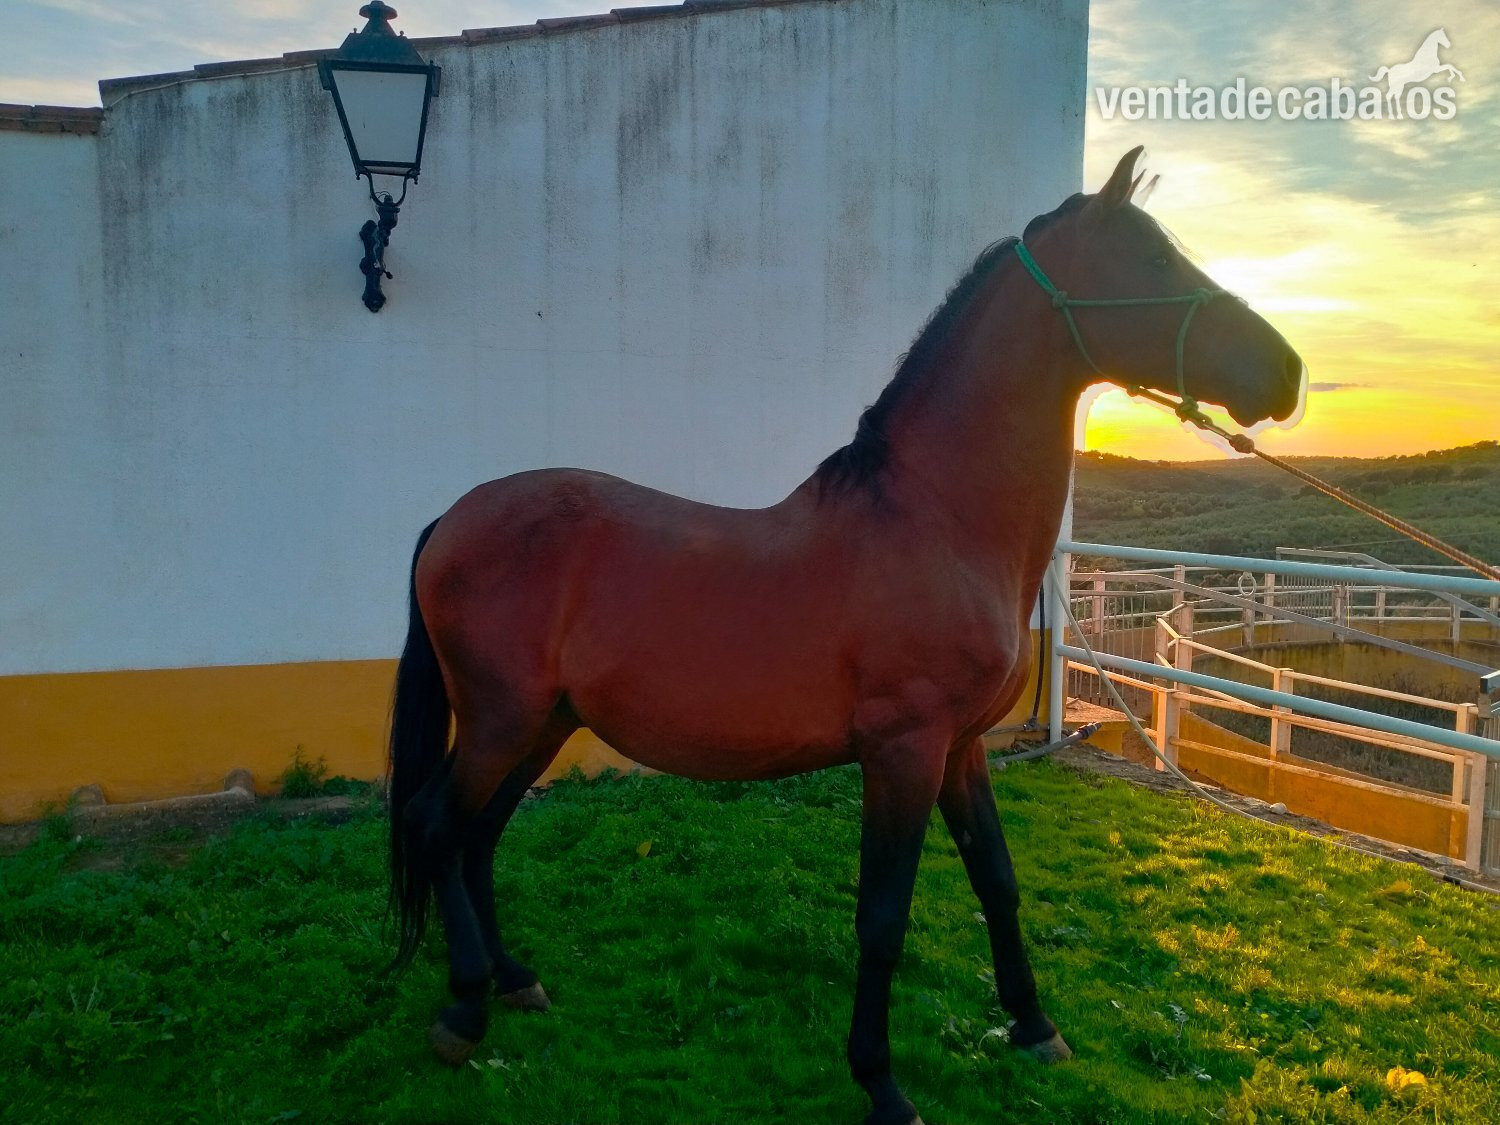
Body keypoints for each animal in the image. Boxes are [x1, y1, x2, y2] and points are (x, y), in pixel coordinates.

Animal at [384, 146, 1304, 1125]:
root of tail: (452, 517)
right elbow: (883, 916)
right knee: (437, 823)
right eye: (1154, 259)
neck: (938, 520)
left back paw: (514, 977)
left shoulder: (960, 748)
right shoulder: (903, 750)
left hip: (543, 723)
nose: (1287, 372)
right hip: (501, 720)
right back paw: (465, 1008)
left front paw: (1033, 1024)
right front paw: (882, 1082)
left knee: (478, 835)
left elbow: (997, 879)